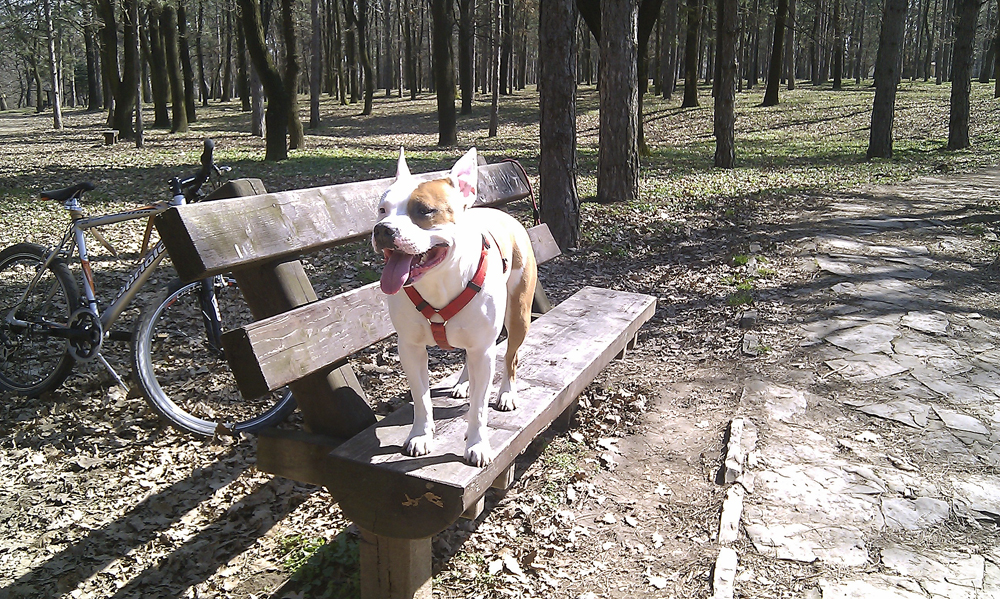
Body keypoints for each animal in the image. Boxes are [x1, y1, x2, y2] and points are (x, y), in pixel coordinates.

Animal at [372, 147, 537, 467]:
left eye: (424, 211)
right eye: (382, 209)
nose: (382, 230)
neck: (438, 281)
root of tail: (501, 213)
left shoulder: (483, 350)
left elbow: (479, 408)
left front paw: (478, 444)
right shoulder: (410, 348)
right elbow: (421, 399)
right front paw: (420, 436)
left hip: (518, 316)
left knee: (510, 357)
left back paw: (506, 393)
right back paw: (463, 383)